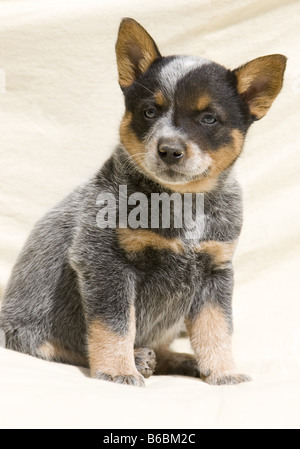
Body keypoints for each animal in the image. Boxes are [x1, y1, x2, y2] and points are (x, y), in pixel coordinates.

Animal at [0, 18, 286, 384]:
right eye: (150, 111)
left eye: (209, 118)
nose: (169, 149)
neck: (183, 203)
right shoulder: (104, 261)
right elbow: (114, 325)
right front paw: (117, 369)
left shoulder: (215, 270)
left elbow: (217, 328)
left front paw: (224, 371)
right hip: (26, 332)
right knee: (61, 347)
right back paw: (138, 358)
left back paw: (180, 360)